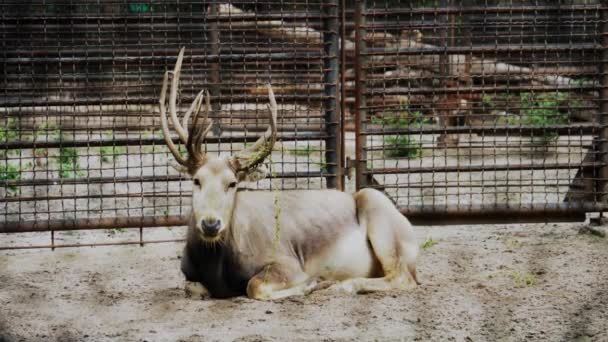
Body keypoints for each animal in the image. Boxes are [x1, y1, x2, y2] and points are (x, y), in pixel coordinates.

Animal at [159, 48, 420, 300]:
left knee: (402, 277)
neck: (216, 268)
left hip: (377, 209)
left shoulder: (289, 263)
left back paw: (343, 285)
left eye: (232, 183)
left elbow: (254, 286)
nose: (211, 224)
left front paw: (312, 284)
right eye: (196, 180)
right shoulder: (188, 275)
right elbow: (191, 288)